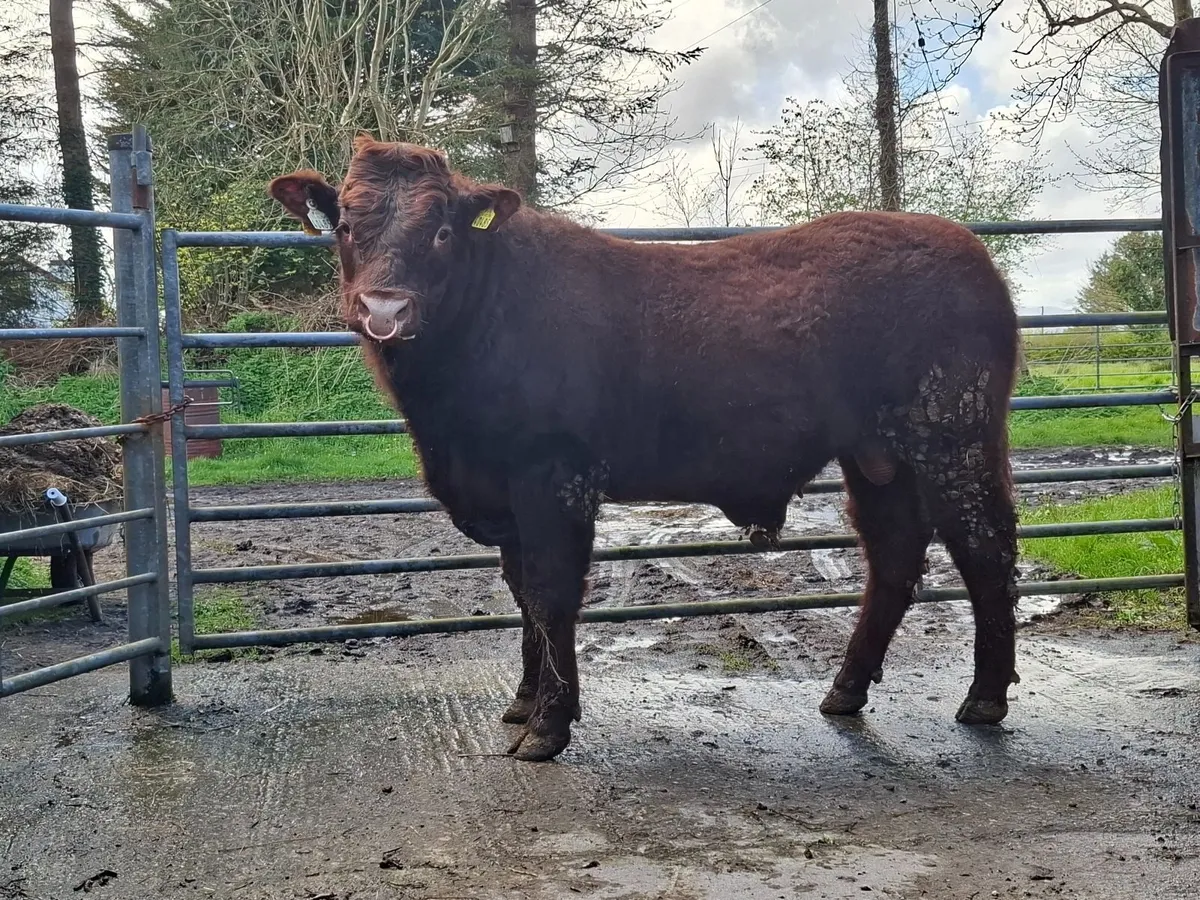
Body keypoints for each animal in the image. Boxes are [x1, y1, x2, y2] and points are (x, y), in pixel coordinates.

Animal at [268, 136, 1021, 763]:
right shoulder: (504, 492)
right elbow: (520, 592)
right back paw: (845, 689)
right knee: (893, 556)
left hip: (953, 438)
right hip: (876, 459)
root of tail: (964, 247)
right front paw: (523, 703)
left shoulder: (553, 475)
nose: (384, 310)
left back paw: (985, 698)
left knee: (985, 548)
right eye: (347, 226)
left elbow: (550, 594)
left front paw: (548, 726)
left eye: (443, 230)